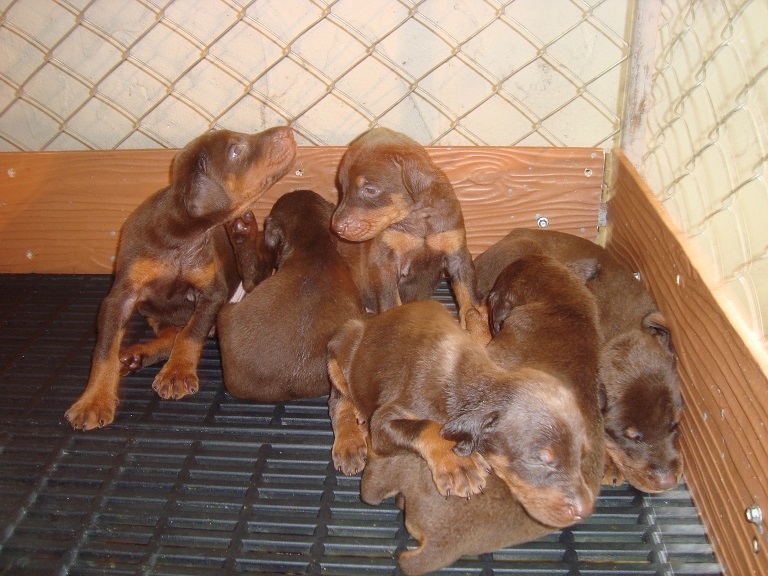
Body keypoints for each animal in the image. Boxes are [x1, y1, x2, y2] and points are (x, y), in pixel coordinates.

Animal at [65, 126, 296, 430]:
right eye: (236, 150)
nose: (288, 130)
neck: (181, 238)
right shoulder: (120, 297)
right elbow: (104, 350)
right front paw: (94, 400)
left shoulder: (212, 293)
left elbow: (191, 332)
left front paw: (176, 372)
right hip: (154, 315)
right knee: (169, 334)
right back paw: (134, 355)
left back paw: (244, 231)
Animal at [328, 298, 590, 517]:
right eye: (537, 460)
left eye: (581, 455)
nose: (585, 510)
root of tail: (373, 319)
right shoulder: (385, 419)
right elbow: (426, 426)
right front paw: (459, 465)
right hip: (340, 349)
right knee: (340, 400)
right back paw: (350, 439)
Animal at [331, 127, 478, 327]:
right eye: (342, 187)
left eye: (370, 189)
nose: (336, 227)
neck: (418, 217)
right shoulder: (386, 262)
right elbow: (392, 303)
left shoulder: (458, 255)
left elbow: (470, 303)